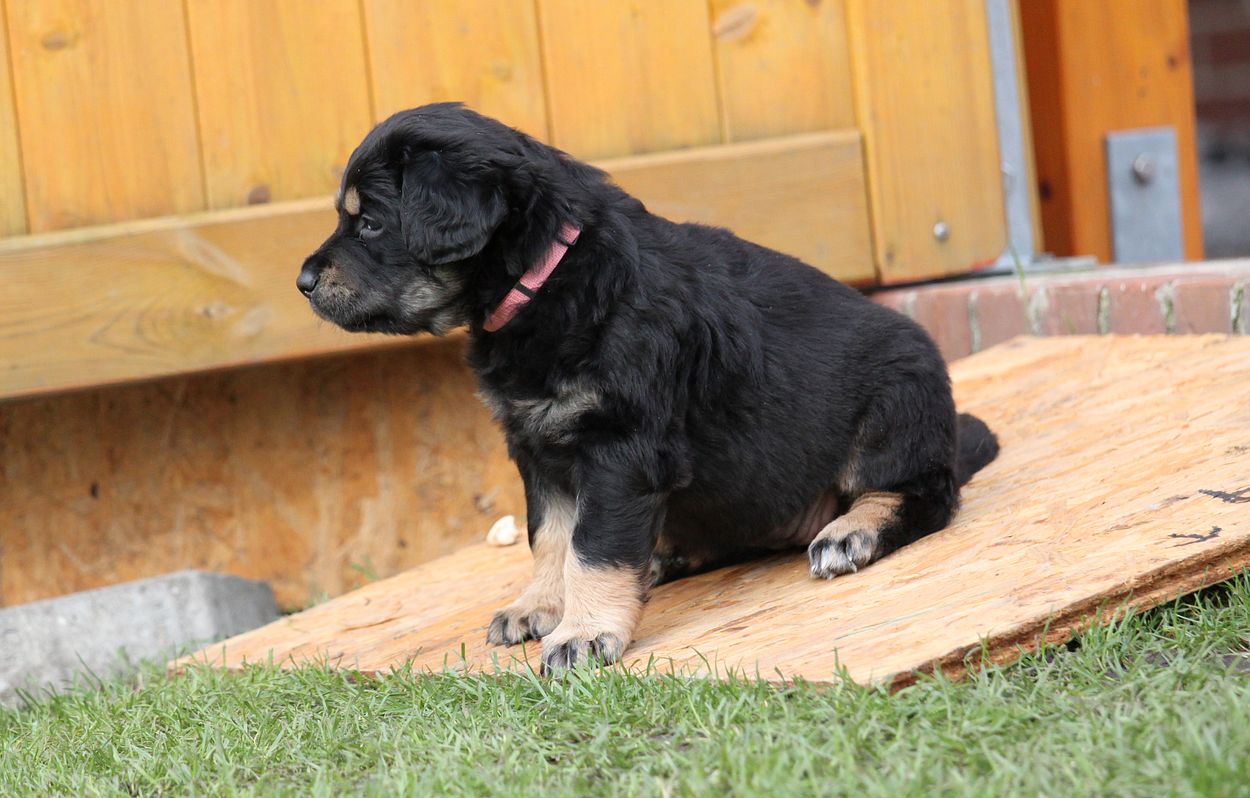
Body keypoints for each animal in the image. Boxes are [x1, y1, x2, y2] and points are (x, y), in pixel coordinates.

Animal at [298, 104, 999, 673]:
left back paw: (850, 533)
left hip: (895, 401)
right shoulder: (539, 446)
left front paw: (582, 633)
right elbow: (553, 536)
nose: (302, 282)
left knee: (925, 493)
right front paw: (539, 605)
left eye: (370, 225)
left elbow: (596, 545)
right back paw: (665, 557)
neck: (547, 278)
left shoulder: (620, 445)